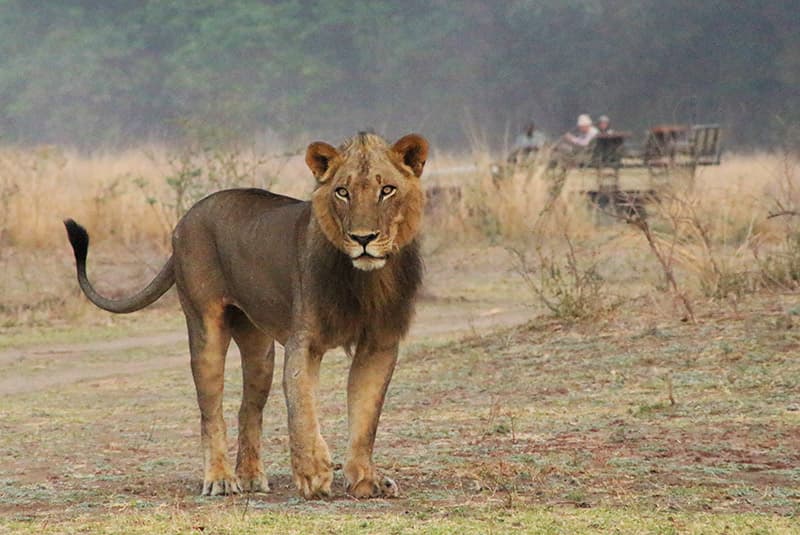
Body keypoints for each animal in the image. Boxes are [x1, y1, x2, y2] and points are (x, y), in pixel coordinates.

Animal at [63, 132, 428, 499]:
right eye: (343, 191)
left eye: (387, 190)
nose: (363, 238)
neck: (365, 279)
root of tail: (185, 219)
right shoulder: (304, 342)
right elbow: (302, 407)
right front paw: (312, 474)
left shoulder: (379, 343)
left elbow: (366, 417)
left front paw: (367, 479)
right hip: (205, 327)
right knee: (210, 411)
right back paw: (221, 479)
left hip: (259, 349)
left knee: (247, 409)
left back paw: (251, 476)